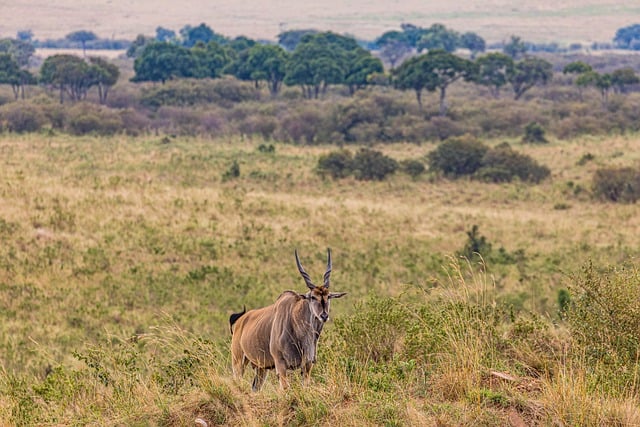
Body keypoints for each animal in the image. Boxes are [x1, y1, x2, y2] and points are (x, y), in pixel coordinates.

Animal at [229, 247, 344, 392]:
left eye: (328, 296)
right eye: (312, 297)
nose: (324, 316)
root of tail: (240, 321)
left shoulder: (307, 366)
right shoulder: (281, 365)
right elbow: (285, 389)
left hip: (261, 368)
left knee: (255, 387)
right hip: (238, 361)